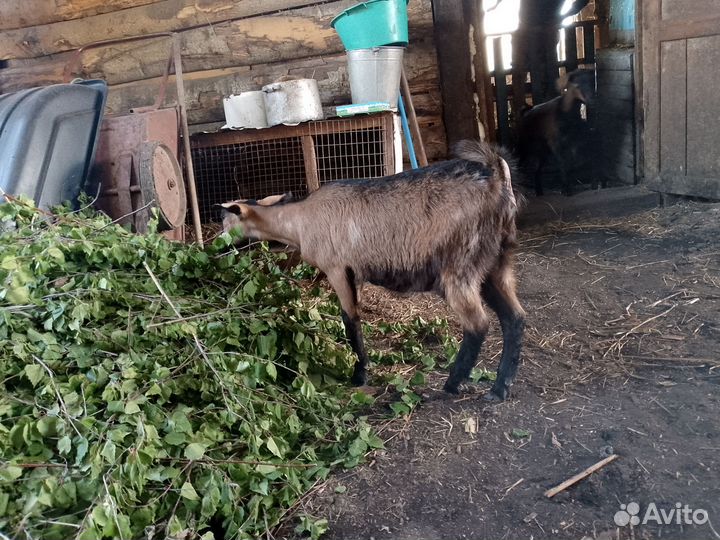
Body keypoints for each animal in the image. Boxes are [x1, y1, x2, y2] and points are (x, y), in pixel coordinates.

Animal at [220, 140, 525, 401]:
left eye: (225, 222)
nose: (217, 247)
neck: (299, 220)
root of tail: (497, 175)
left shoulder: (336, 268)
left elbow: (349, 319)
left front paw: (359, 375)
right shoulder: (354, 273)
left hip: (461, 263)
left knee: (478, 323)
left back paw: (452, 384)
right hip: (497, 262)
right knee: (515, 318)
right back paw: (500, 388)